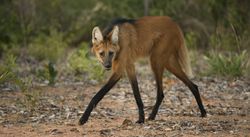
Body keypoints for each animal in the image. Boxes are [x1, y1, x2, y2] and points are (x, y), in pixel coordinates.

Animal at [78, 16, 207, 125]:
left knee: (161, 92)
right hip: (168, 62)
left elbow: (98, 95)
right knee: (192, 86)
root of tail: (174, 23)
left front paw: (83, 119)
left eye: (111, 53)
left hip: (156, 60)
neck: (120, 40)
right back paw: (202, 112)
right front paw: (141, 118)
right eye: (101, 54)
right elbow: (137, 94)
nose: (108, 65)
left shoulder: (120, 70)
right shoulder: (129, 66)